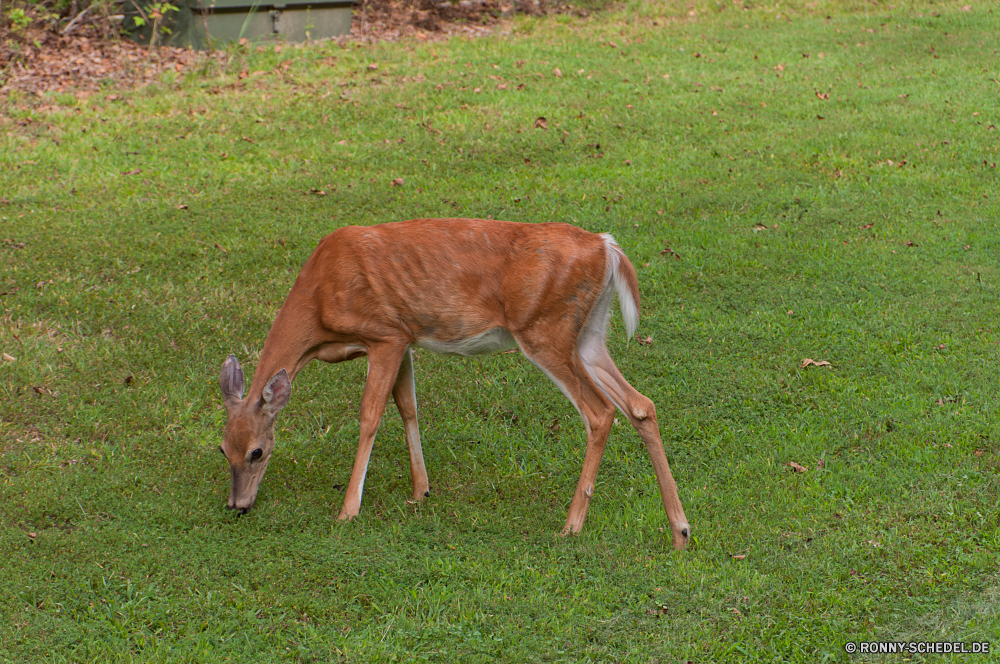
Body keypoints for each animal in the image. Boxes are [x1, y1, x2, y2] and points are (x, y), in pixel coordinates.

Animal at [218, 218, 688, 548]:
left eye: (257, 451)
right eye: (223, 449)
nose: (237, 506)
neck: (317, 308)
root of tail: (606, 247)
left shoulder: (385, 333)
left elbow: (370, 415)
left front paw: (348, 510)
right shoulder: (405, 338)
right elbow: (407, 406)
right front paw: (420, 491)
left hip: (544, 329)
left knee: (601, 411)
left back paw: (571, 526)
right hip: (587, 335)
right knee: (641, 404)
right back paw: (680, 530)